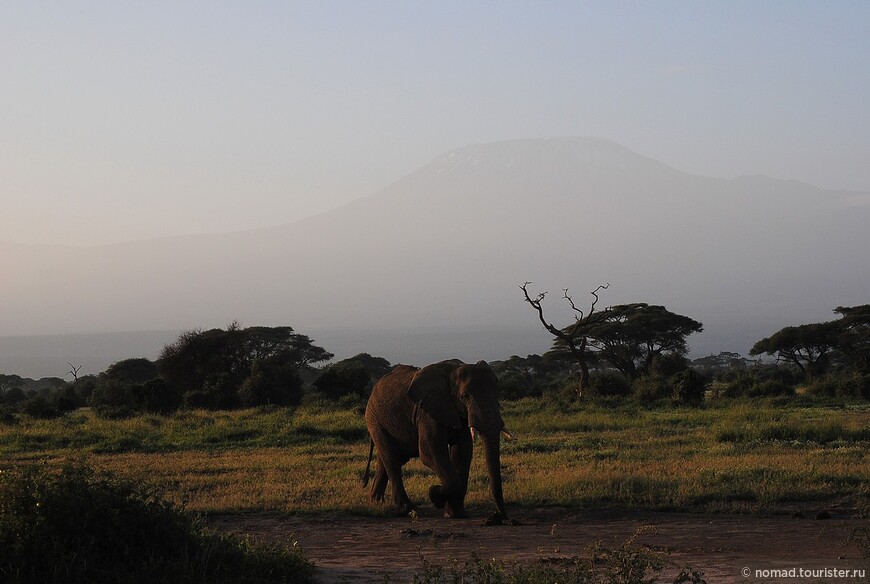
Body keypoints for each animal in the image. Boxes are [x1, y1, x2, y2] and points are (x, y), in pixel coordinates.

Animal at [362, 360, 510, 520]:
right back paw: (407, 509)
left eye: (497, 393)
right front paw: (435, 495)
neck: (453, 371)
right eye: (465, 396)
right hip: (375, 420)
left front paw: (455, 514)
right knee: (392, 459)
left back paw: (376, 503)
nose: (499, 516)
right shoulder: (427, 412)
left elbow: (463, 451)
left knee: (385, 460)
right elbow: (430, 451)